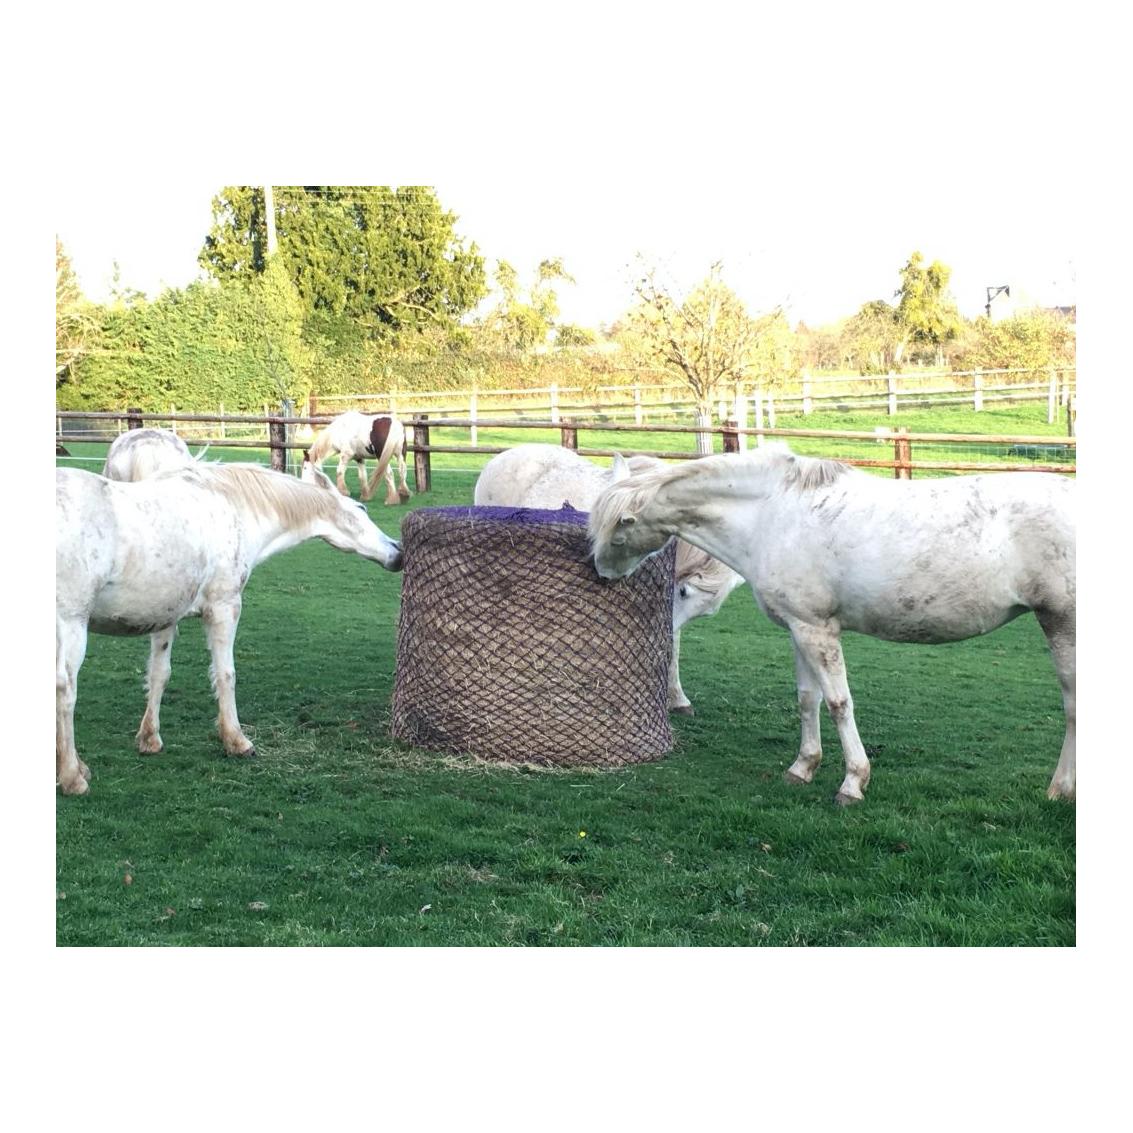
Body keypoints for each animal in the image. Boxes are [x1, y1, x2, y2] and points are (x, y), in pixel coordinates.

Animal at [56, 457, 403, 795]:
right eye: (361, 509)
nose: (398, 552)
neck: (233, 507)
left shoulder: (165, 616)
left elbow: (159, 675)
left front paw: (150, 739)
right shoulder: (224, 608)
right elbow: (226, 675)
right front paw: (236, 740)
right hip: (71, 626)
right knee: (65, 689)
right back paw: (73, 777)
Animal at [588, 443, 1076, 805]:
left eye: (617, 531)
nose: (601, 573)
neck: (773, 514)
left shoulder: (818, 631)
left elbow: (840, 703)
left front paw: (853, 782)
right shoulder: (800, 628)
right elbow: (809, 700)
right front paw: (803, 767)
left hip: (1063, 626)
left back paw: (1059, 790)